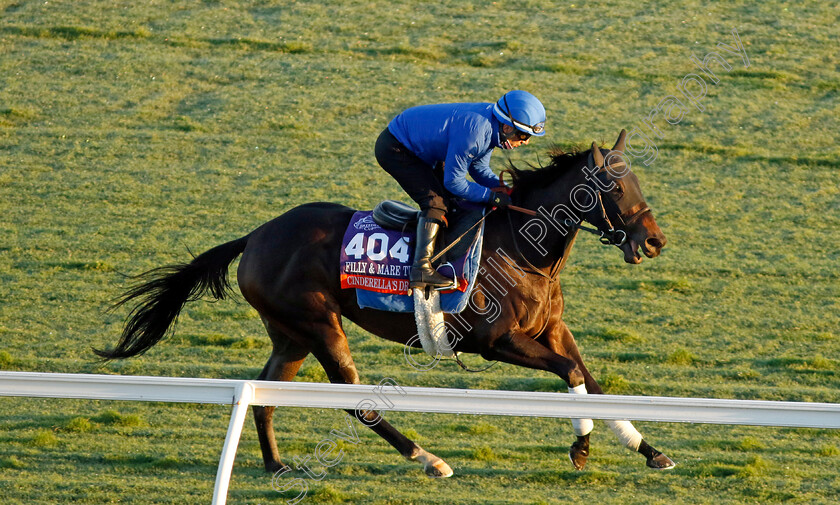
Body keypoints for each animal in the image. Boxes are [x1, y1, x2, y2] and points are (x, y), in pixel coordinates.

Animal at [97, 130, 676, 476]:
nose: (653, 241)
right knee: (357, 401)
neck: (523, 246)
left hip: (290, 333)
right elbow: (569, 373)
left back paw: (276, 464)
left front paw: (648, 450)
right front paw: (581, 448)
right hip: (320, 324)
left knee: (264, 394)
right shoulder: (497, 341)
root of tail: (256, 236)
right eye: (614, 186)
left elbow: (590, 379)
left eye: (634, 179)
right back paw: (428, 459)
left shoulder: (551, 329)